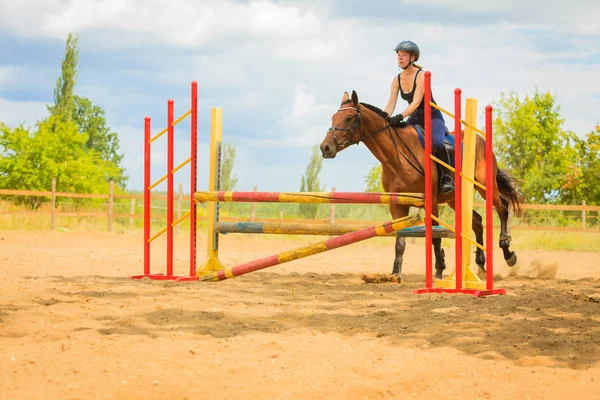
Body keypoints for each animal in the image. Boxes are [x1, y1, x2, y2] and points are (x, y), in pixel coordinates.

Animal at [318, 91, 520, 282]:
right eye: (333, 117)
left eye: (349, 118)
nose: (325, 148)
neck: (397, 157)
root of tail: (482, 140)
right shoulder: (397, 205)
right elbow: (400, 240)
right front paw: (395, 274)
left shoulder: (431, 201)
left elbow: (435, 236)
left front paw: (439, 270)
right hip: (456, 198)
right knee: (477, 222)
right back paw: (480, 265)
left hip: (485, 187)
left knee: (502, 207)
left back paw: (508, 253)